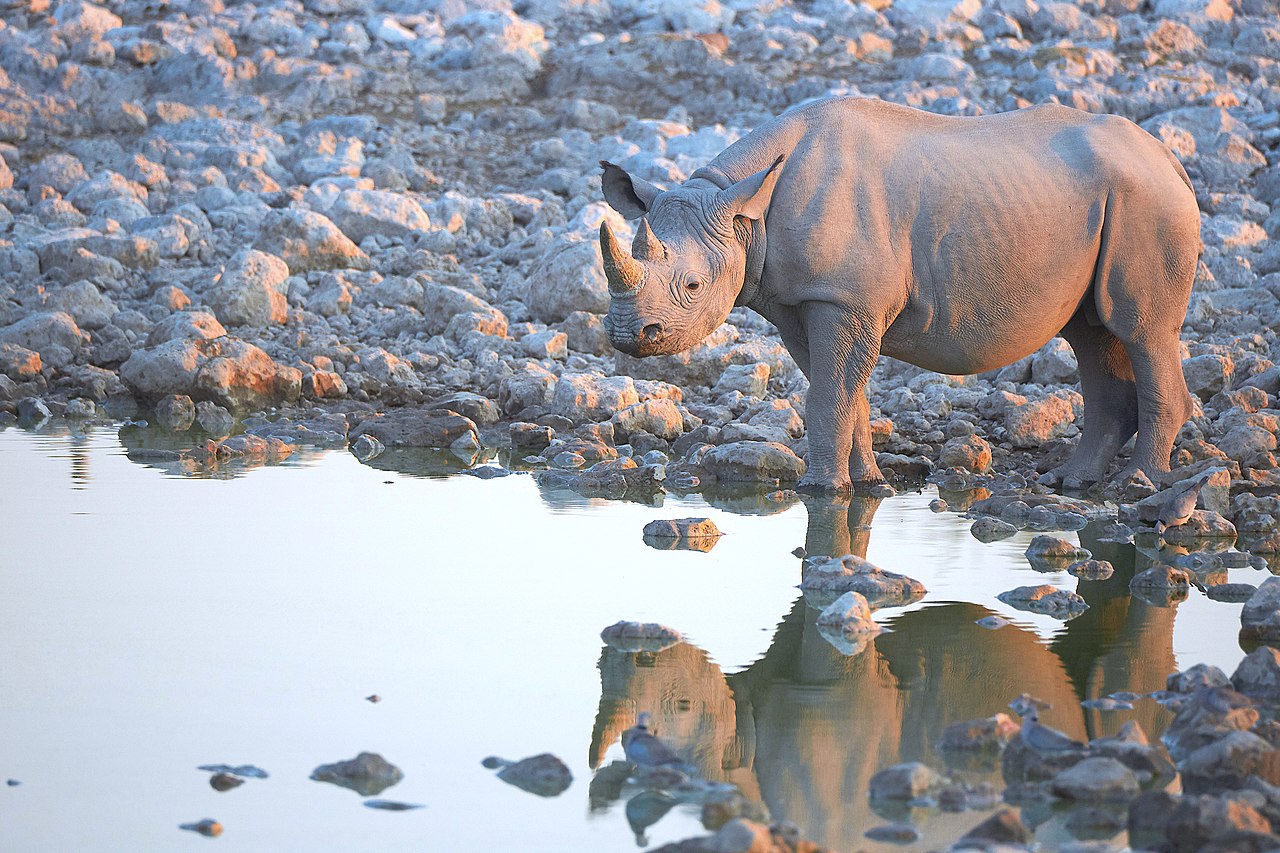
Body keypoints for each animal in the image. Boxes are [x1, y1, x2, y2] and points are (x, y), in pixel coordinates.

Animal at [598, 96, 1200, 492]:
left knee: (1141, 331)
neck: (742, 209)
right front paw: (865, 483)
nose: (629, 336)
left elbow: (830, 396)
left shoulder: (844, 298)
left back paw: (1138, 484)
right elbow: (843, 394)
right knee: (1093, 334)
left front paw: (820, 490)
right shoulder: (804, 302)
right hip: (1113, 200)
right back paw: (1070, 482)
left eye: (693, 286)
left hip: (1148, 201)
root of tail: (1168, 157)